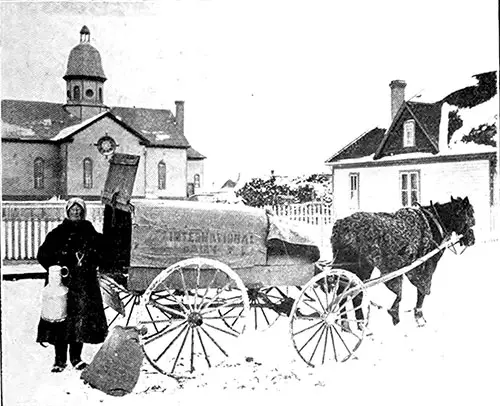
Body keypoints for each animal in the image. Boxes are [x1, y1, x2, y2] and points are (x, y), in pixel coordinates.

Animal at [330, 196, 474, 326]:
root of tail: (340, 226)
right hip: (361, 267)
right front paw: (419, 316)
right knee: (351, 292)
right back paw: (355, 324)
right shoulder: (427, 266)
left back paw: (347, 323)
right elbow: (422, 291)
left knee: (345, 291)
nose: (472, 239)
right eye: (469, 215)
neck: (434, 222)